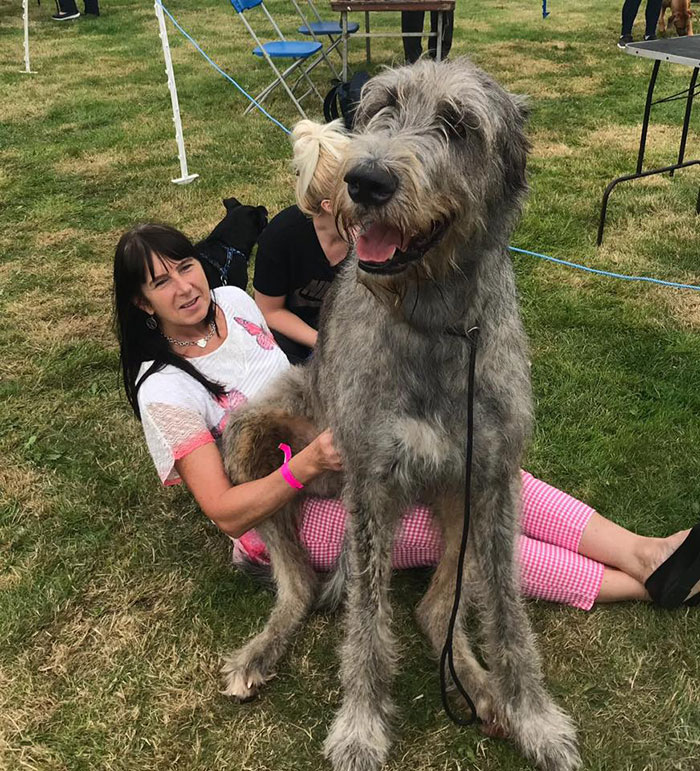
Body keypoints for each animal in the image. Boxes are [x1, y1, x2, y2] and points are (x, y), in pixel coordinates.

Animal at [223, 58, 580, 771]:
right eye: (380, 107)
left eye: (459, 125)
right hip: (256, 441)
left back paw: (479, 686)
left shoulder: (494, 479)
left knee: (434, 610)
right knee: (300, 585)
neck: (436, 321)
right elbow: (367, 620)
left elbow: (507, 611)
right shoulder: (369, 483)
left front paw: (535, 717)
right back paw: (260, 651)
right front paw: (360, 726)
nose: (366, 180)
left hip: (457, 501)